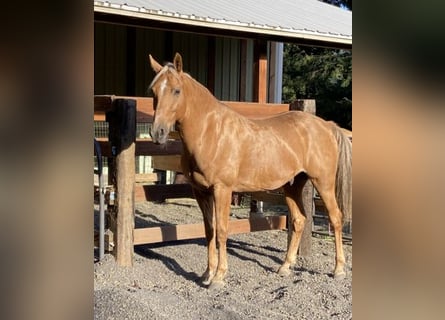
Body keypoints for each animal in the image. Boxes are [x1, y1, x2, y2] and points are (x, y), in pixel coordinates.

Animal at [149, 53, 350, 290]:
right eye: (153, 91)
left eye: (176, 90)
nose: (158, 132)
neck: (210, 133)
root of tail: (326, 126)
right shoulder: (201, 192)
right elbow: (209, 231)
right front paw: (206, 274)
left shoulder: (222, 189)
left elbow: (222, 231)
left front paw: (219, 277)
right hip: (292, 185)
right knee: (299, 220)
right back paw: (285, 267)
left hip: (323, 183)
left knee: (336, 218)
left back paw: (338, 270)